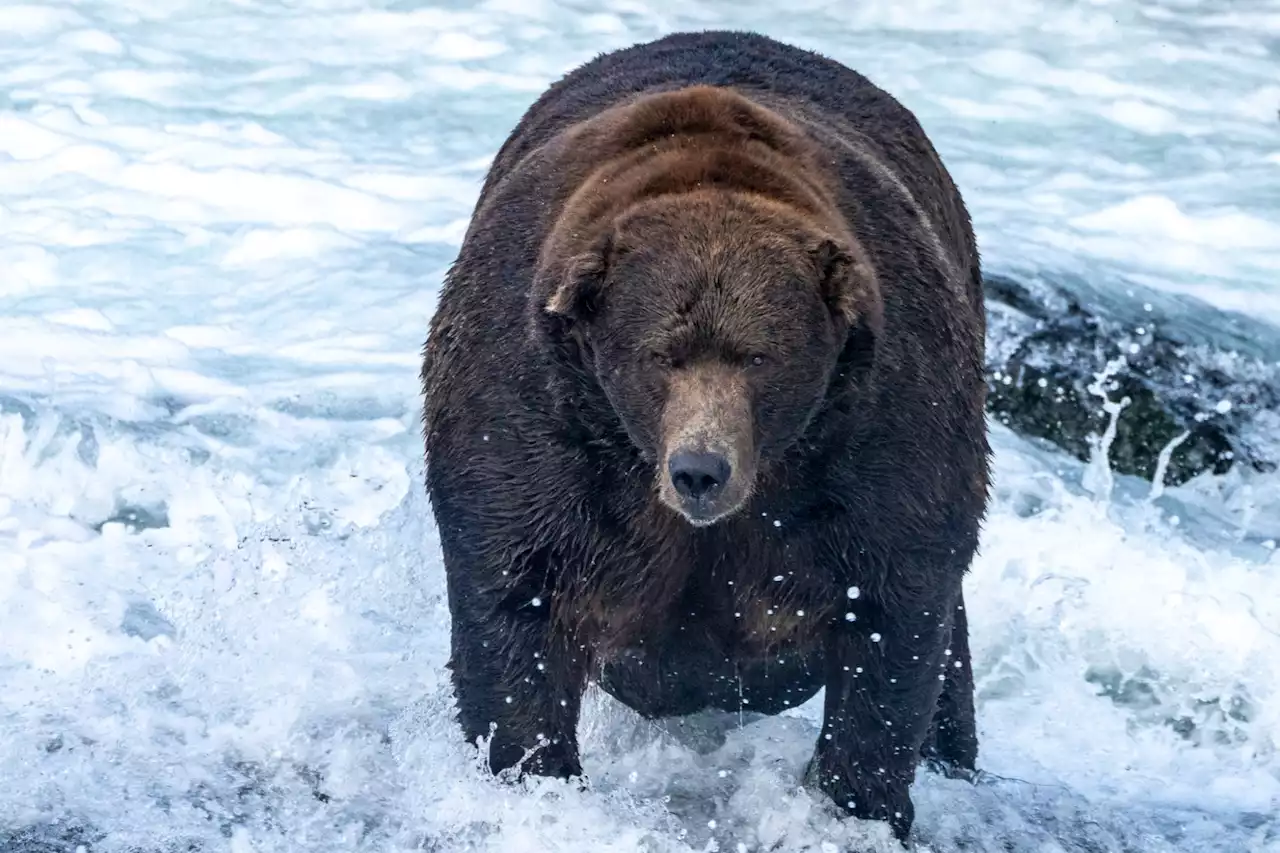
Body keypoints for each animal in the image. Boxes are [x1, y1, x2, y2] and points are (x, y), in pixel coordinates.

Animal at [419, 29, 988, 840]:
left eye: (759, 356)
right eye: (661, 354)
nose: (700, 469)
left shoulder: (882, 421)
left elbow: (893, 612)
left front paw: (857, 801)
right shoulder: (533, 411)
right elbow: (516, 595)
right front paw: (532, 772)